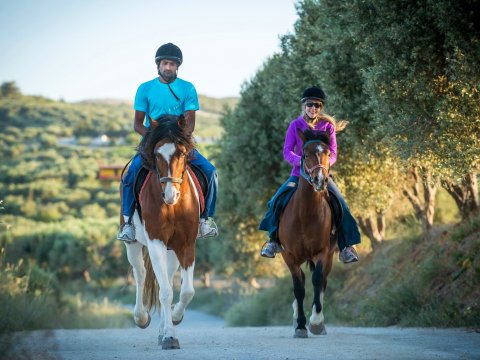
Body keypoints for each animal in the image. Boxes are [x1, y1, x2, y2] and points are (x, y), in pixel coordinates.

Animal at [123, 114, 202, 348]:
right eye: (157, 154)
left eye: (182, 153)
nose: (170, 195)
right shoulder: (156, 242)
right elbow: (165, 292)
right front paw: (169, 336)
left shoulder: (186, 244)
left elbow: (187, 291)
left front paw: (175, 318)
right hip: (134, 245)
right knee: (140, 274)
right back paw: (141, 318)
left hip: (171, 250)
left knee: (165, 278)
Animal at [280, 129, 336, 338]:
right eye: (305, 154)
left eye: (328, 153)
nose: (320, 180)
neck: (305, 214)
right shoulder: (289, 255)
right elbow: (299, 288)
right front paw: (301, 326)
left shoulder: (322, 252)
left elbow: (317, 281)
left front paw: (316, 322)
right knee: (303, 282)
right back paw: (297, 315)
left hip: (330, 256)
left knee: (322, 282)